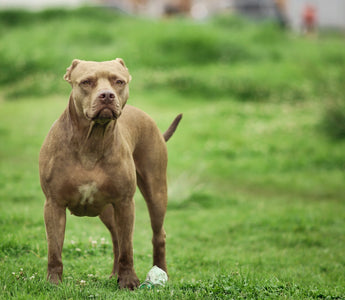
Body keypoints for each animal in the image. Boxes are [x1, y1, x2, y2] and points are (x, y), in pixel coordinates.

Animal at [38, 57, 181, 290]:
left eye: (119, 81)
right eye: (86, 82)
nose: (106, 95)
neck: (92, 140)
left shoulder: (125, 202)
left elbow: (128, 248)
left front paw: (129, 281)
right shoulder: (53, 204)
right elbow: (54, 249)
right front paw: (53, 283)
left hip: (156, 192)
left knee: (156, 235)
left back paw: (161, 272)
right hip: (107, 209)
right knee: (115, 238)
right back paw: (115, 274)